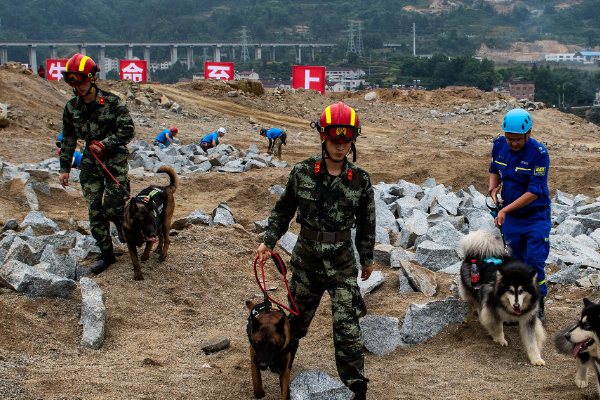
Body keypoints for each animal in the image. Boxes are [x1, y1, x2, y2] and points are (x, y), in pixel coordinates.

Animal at [458, 228, 548, 366]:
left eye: (522, 291)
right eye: (509, 291)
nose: (516, 305)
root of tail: (474, 253)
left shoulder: (529, 318)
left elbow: (531, 340)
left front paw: (536, 358)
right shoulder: (492, 308)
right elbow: (498, 326)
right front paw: (500, 339)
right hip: (472, 289)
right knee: (471, 303)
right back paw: (467, 318)